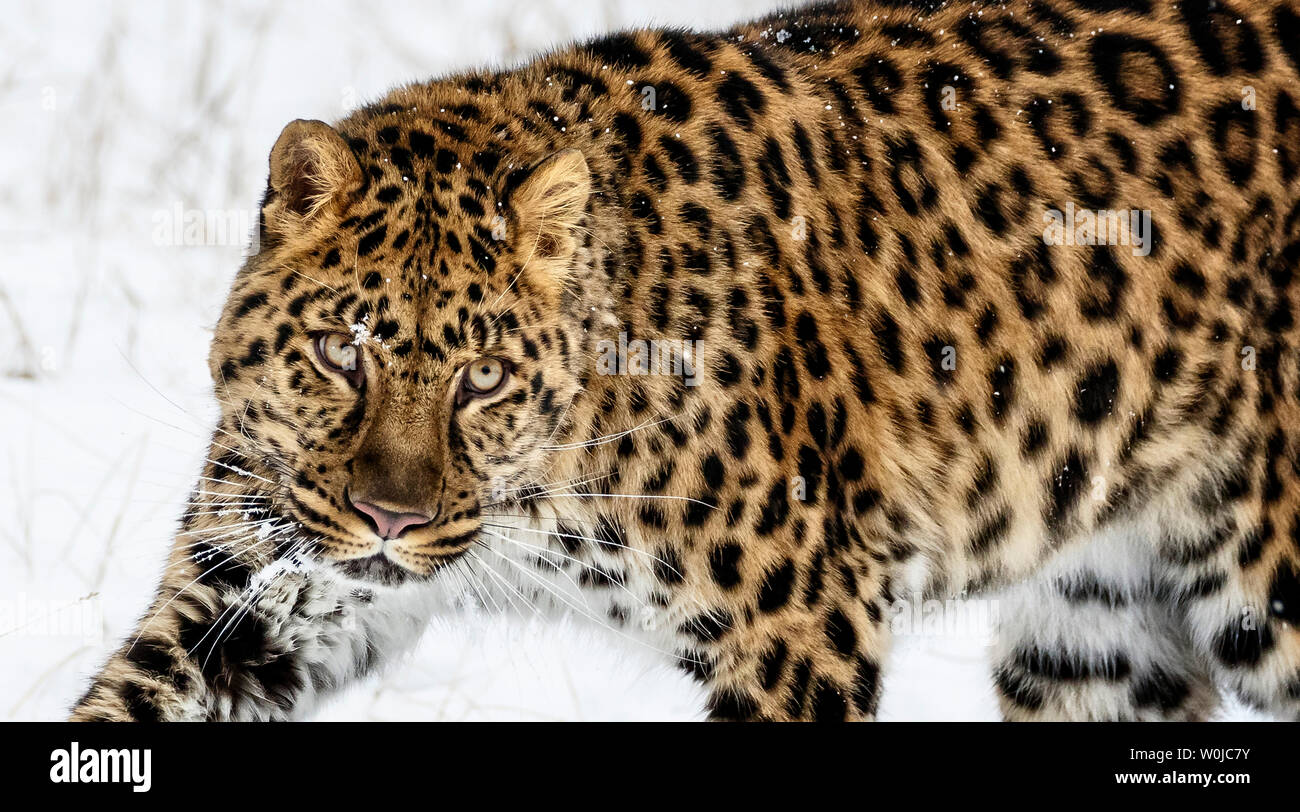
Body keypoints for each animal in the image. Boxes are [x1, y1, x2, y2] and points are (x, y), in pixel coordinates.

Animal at [71, 0, 1300, 721]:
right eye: (340, 352)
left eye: (482, 377)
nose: (390, 520)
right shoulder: (256, 594)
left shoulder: (799, 624)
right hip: (1094, 624)